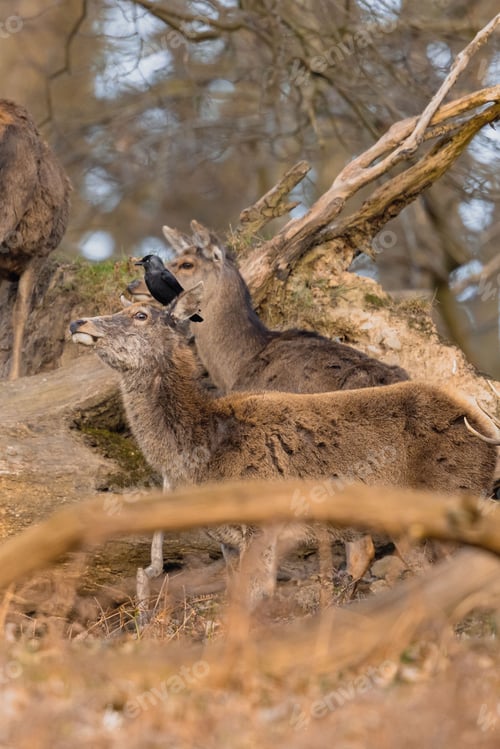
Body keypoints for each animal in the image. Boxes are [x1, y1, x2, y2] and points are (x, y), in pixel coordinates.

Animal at [70, 286, 499, 610]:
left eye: (140, 314)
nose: (78, 322)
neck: (203, 446)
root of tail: (484, 429)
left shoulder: (263, 522)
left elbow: (256, 597)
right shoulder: (229, 538)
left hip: (444, 497)